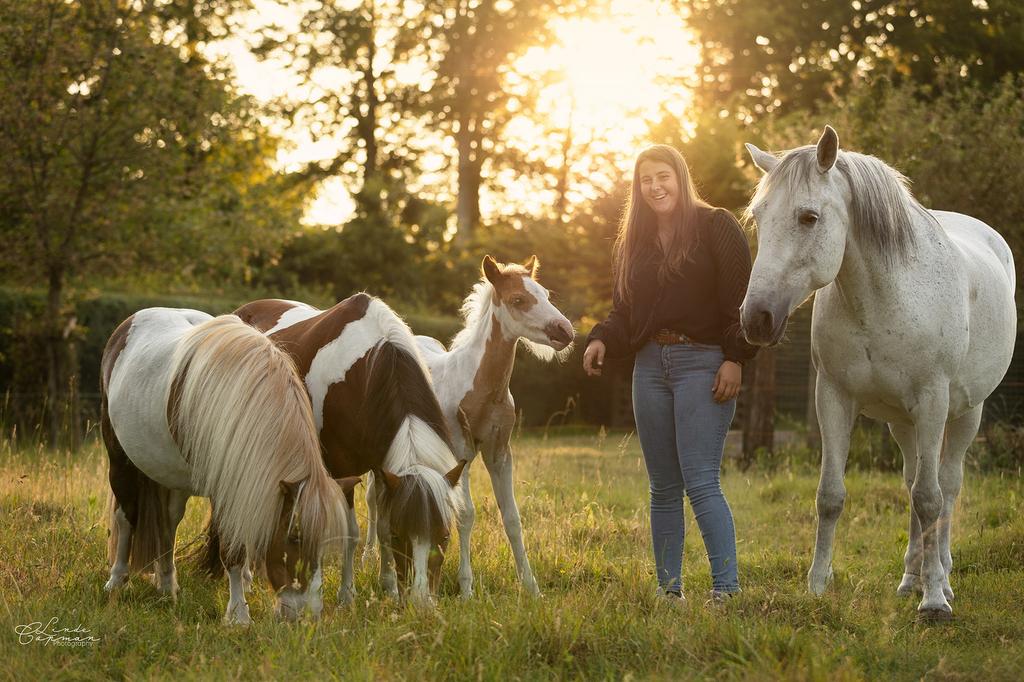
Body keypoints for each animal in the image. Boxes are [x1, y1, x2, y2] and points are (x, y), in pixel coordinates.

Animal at [101, 309, 348, 624]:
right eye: (294, 537)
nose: (307, 616)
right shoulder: (224, 490)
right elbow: (233, 549)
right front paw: (239, 615)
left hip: (171, 476)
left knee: (168, 523)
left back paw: (168, 586)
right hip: (120, 461)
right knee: (126, 517)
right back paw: (116, 580)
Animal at [198, 292, 466, 605]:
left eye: (445, 536)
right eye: (401, 536)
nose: (420, 603)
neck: (366, 368)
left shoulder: (383, 470)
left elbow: (381, 524)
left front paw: (388, 586)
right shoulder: (342, 470)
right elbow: (351, 532)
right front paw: (346, 594)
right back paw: (248, 579)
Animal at [363, 255, 575, 597]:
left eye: (544, 294)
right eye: (518, 299)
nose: (565, 331)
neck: (482, 388)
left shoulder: (499, 453)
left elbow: (512, 517)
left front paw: (532, 588)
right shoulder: (461, 451)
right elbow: (466, 514)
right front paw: (466, 589)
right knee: (373, 499)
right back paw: (369, 557)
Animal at [741, 126, 1016, 619]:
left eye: (808, 217)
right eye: (758, 216)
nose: (757, 319)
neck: (885, 297)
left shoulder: (932, 402)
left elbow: (930, 498)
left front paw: (934, 602)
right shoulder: (833, 398)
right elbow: (831, 496)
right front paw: (817, 586)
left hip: (966, 413)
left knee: (946, 487)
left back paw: (943, 579)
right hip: (902, 423)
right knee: (912, 482)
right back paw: (910, 579)